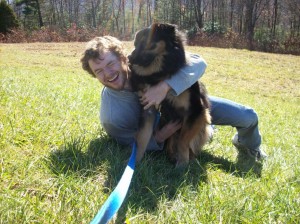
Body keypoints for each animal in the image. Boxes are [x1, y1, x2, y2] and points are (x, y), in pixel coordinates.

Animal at [129, 23, 211, 166]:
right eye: (135, 43)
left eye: (147, 43)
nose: (129, 58)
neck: (160, 75)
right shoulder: (148, 108)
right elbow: (142, 138)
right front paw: (135, 162)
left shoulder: (195, 111)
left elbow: (183, 141)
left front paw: (182, 165)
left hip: (203, 125)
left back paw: (190, 160)